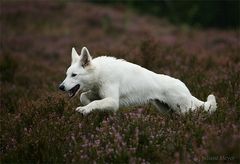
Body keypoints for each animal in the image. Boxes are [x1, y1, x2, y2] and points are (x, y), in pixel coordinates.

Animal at [59, 46, 217, 115]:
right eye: (67, 74)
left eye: (74, 75)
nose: (60, 87)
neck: (100, 73)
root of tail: (185, 87)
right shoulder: (99, 94)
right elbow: (84, 97)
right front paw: (88, 108)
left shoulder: (113, 101)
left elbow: (95, 102)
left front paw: (85, 109)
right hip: (168, 111)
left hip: (184, 110)